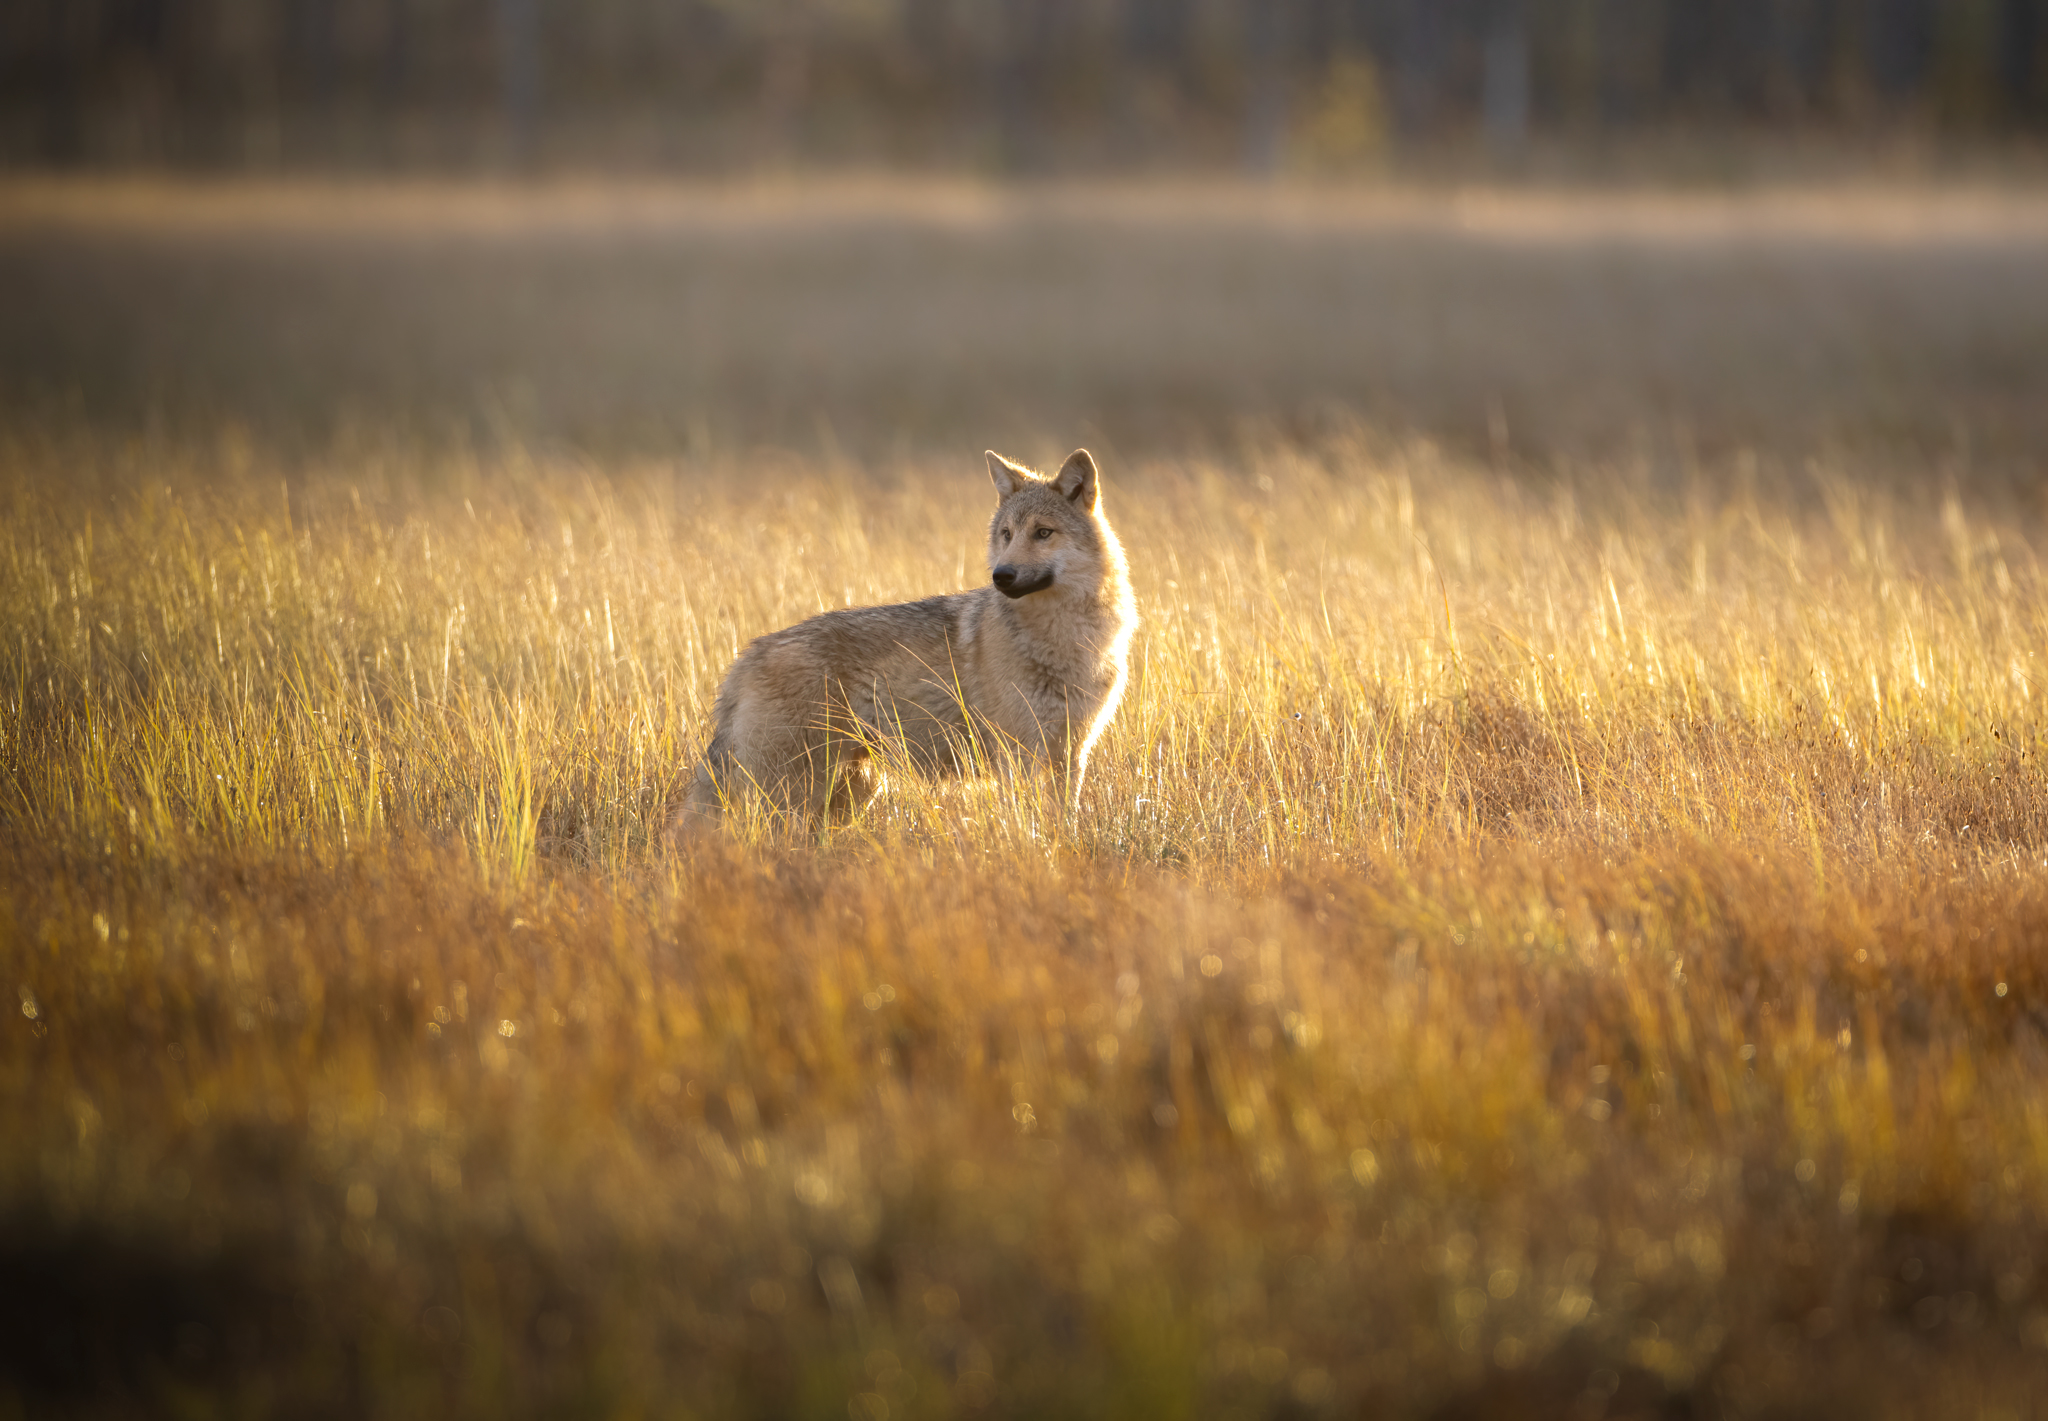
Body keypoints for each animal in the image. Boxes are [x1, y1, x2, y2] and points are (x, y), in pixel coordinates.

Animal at [680, 448, 1138, 831]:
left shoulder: (1072, 753)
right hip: (796, 796)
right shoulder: (1017, 756)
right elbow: (1026, 823)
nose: (1001, 576)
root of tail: (747, 655)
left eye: (1043, 533)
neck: (1065, 641)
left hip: (848, 795)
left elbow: (1065, 821)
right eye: (1007, 534)